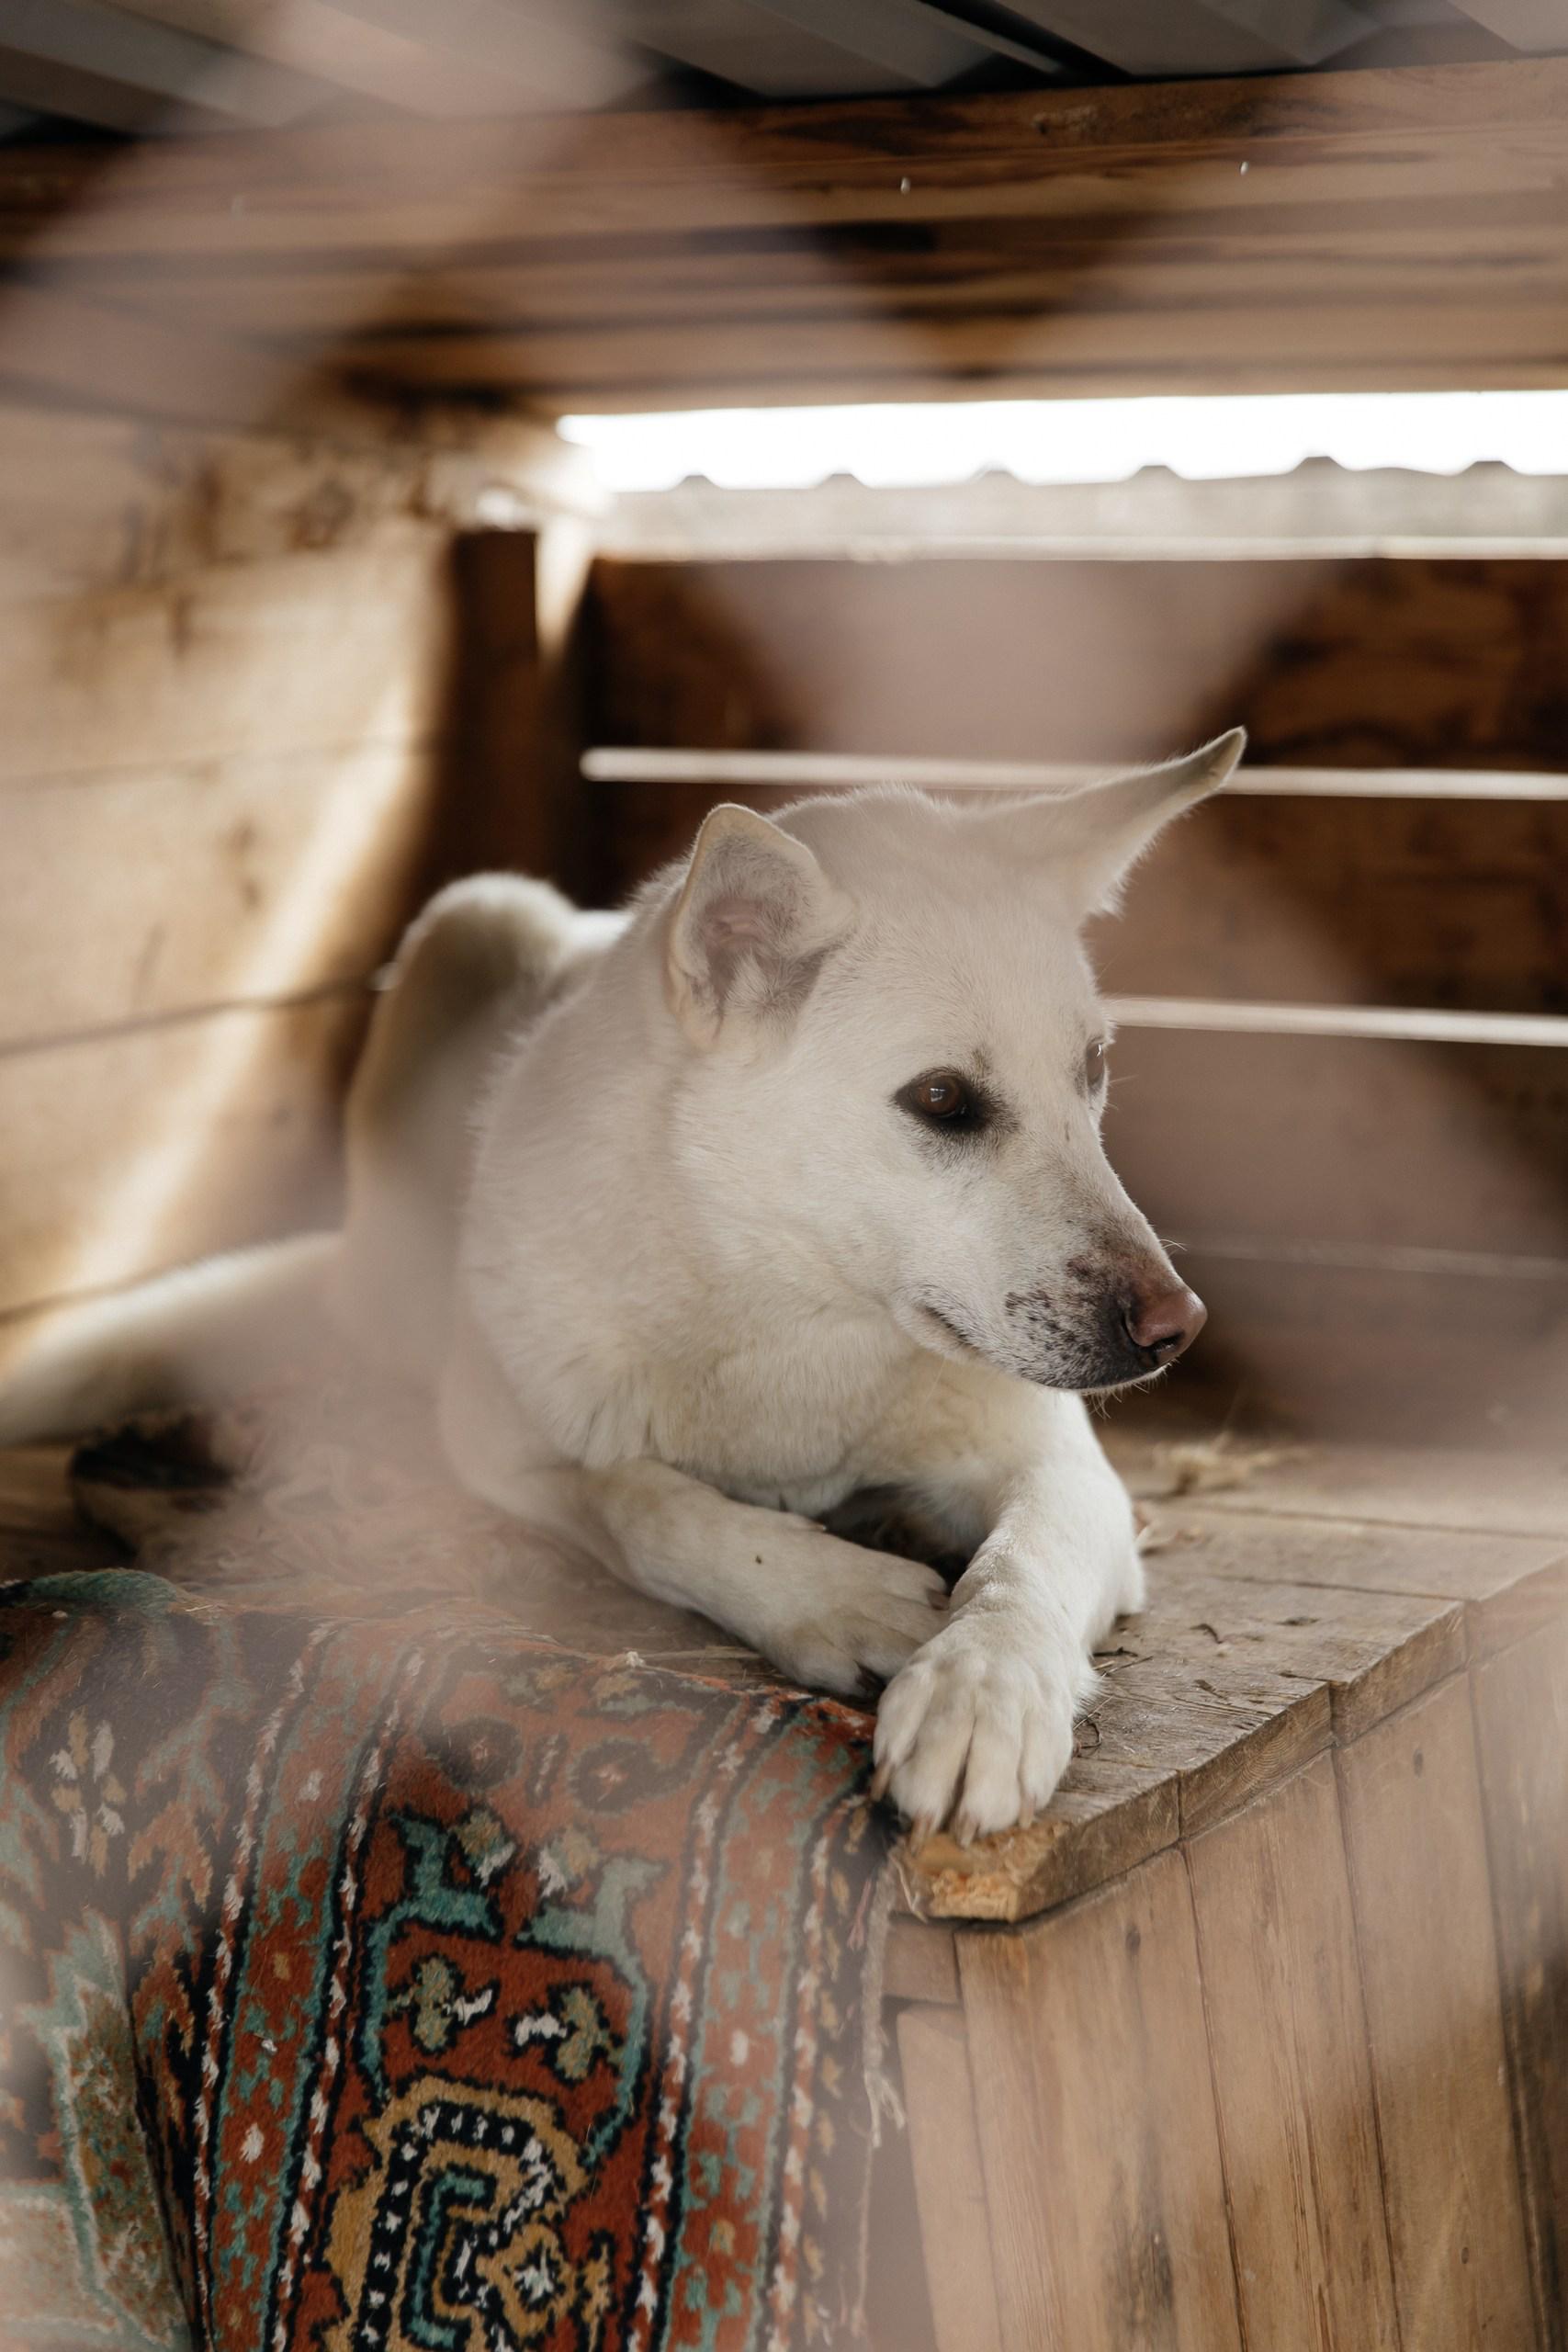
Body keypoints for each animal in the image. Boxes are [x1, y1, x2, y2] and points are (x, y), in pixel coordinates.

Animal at [3, 729, 1250, 1834]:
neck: (789, 1304)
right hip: (473, 917)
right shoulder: (501, 1443)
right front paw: (837, 1596)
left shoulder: (1066, 1473)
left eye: (1093, 1069)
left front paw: (980, 1693)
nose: (1176, 1326)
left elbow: (1020, 1567)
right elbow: (643, 1502)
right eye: (943, 1100)